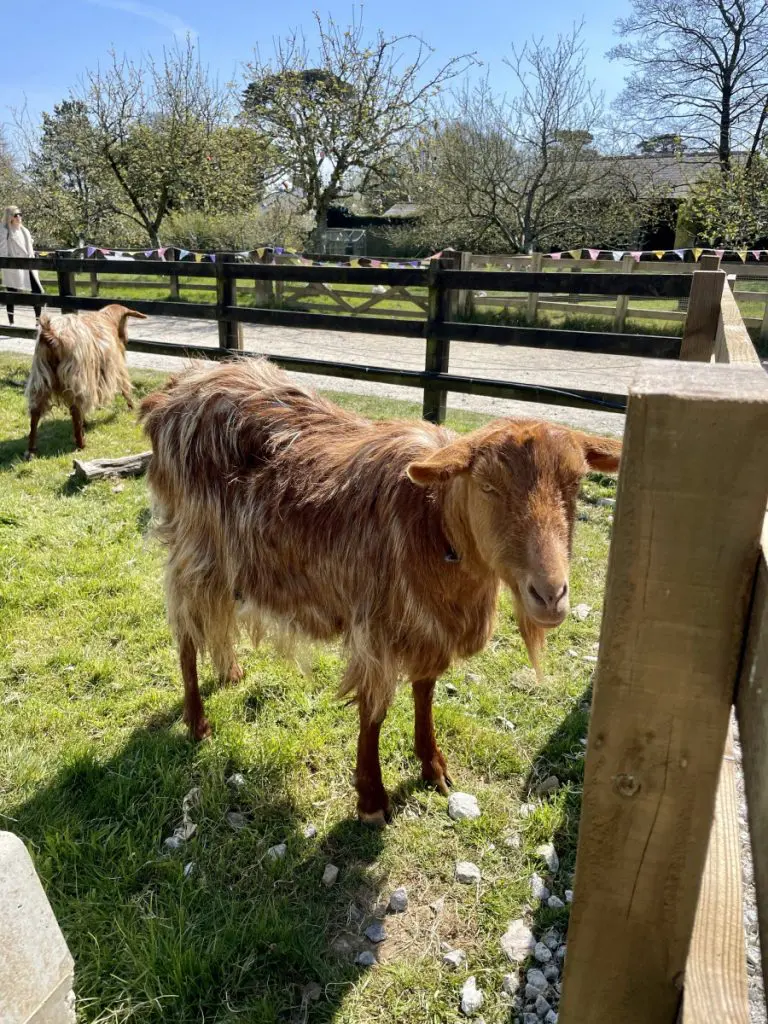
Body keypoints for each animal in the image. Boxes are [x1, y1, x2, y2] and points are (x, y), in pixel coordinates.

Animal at [25, 303, 147, 457]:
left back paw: (31, 449)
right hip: (77, 376)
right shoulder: (117, 367)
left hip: (41, 376)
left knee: (35, 412)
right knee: (75, 409)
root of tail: (50, 334)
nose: (126, 340)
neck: (108, 320)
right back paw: (81, 443)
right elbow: (125, 388)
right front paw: (132, 407)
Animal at [139, 359, 621, 824]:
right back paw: (197, 721)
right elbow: (373, 712)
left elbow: (425, 691)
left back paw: (230, 671)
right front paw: (371, 798)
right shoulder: (377, 627)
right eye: (488, 486)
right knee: (186, 630)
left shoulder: (429, 625)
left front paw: (433, 766)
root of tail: (176, 389)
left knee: (215, 617)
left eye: (576, 484)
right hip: (193, 548)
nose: (551, 595)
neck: (434, 523)